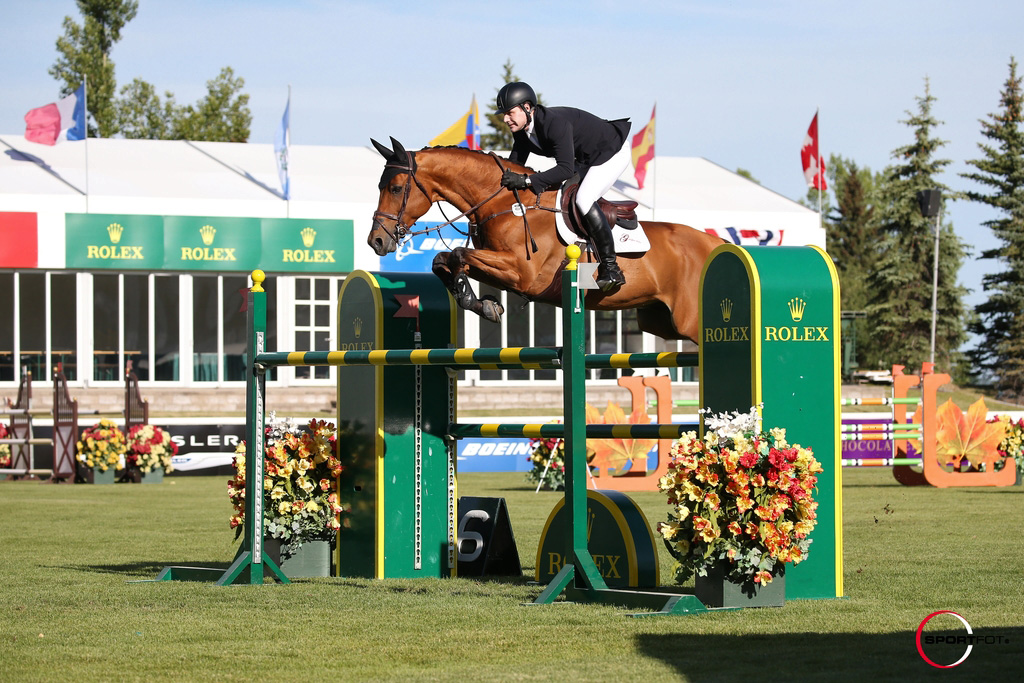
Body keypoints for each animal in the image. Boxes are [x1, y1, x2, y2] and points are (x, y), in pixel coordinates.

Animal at [366, 137, 720, 342]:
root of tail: (715, 245)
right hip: (660, 322)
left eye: (395, 188)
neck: (504, 203)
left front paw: (478, 300)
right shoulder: (499, 265)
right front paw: (482, 303)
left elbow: (456, 254)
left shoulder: (523, 273)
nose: (376, 242)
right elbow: (443, 260)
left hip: (691, 322)